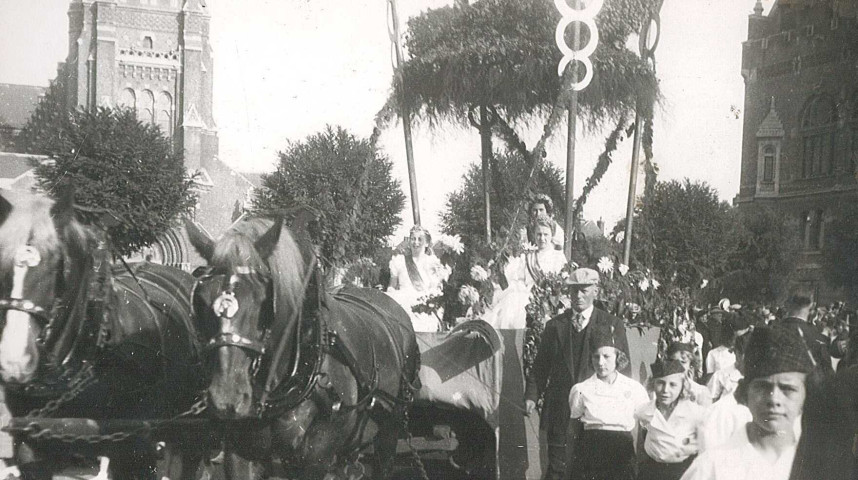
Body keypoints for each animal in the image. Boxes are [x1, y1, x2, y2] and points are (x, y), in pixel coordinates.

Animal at [186, 216, 420, 478]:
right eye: (201, 299)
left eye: (263, 301)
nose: (226, 397)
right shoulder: (240, 453)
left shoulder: (315, 457)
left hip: (390, 428)